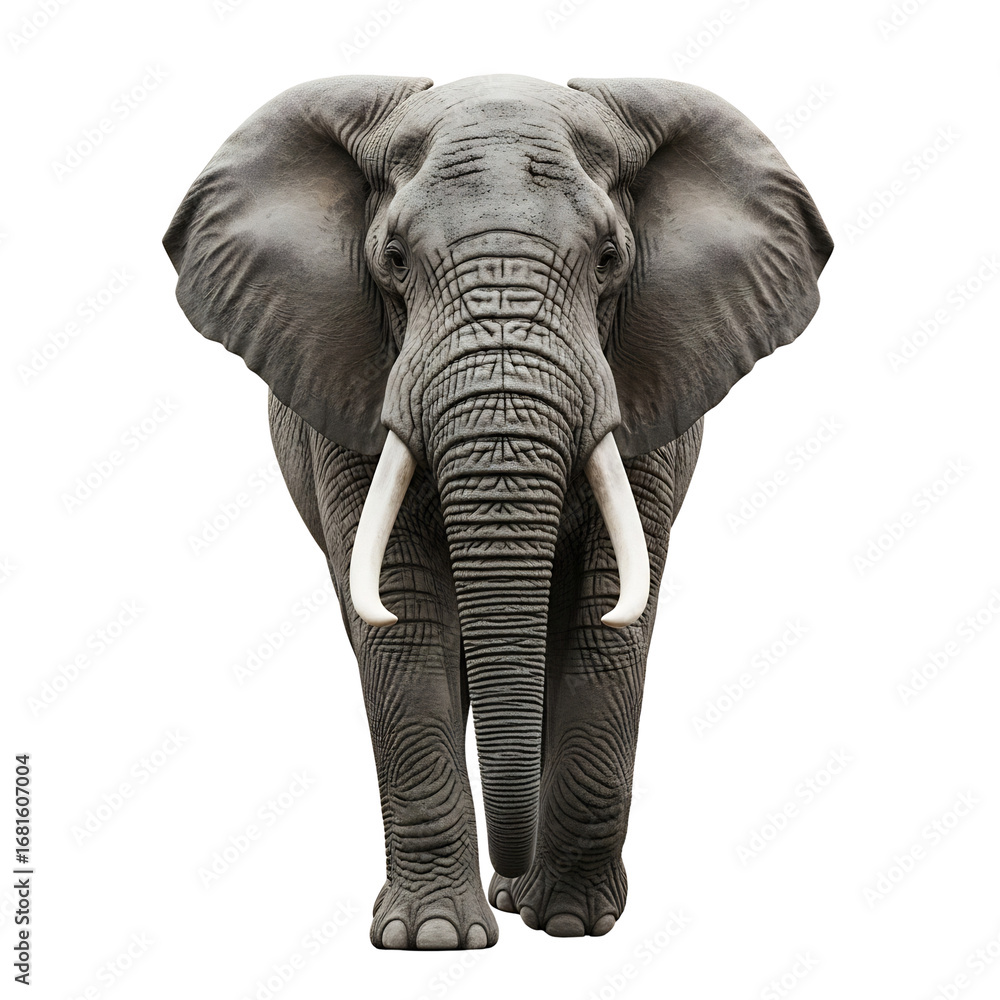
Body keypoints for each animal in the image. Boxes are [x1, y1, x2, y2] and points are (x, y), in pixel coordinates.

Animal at [163, 74, 832, 950]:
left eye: (611, 259)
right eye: (393, 261)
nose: (507, 875)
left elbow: (609, 614)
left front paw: (572, 925)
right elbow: (402, 618)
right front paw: (431, 939)